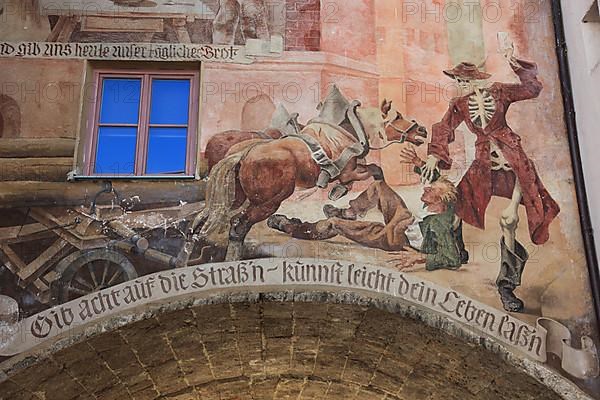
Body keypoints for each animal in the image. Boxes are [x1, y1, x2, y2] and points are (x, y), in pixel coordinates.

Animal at [186, 99, 426, 264]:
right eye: (396, 117)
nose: (422, 130)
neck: (349, 130)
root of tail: (243, 154)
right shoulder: (349, 172)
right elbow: (375, 172)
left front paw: (339, 202)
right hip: (268, 202)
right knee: (238, 225)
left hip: (233, 197)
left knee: (207, 218)